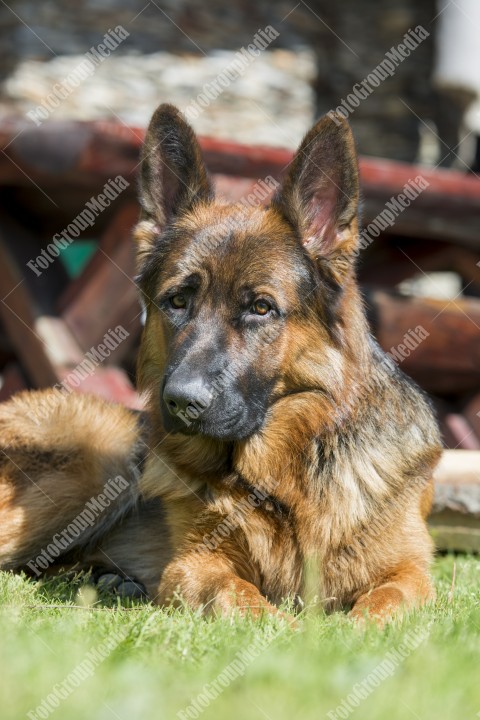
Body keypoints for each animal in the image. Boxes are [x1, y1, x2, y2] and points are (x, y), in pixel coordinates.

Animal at [0, 104, 440, 620]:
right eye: (177, 301)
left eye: (261, 308)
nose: (181, 402)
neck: (279, 483)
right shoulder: (194, 565)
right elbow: (242, 597)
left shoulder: (412, 573)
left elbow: (384, 603)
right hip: (101, 463)